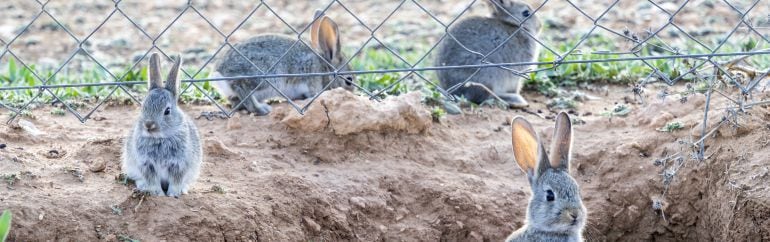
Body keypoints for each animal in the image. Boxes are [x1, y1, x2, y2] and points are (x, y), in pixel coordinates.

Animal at [121, 52, 202, 197]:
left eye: (167, 111)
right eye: (143, 107)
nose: (149, 125)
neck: (160, 138)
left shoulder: (179, 164)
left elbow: (176, 181)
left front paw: (173, 194)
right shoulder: (147, 164)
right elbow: (152, 180)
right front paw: (157, 194)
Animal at [214, 11, 356, 116]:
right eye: (349, 80)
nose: (352, 93)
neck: (325, 69)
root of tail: (220, 73)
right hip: (267, 75)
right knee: (241, 86)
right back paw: (262, 109)